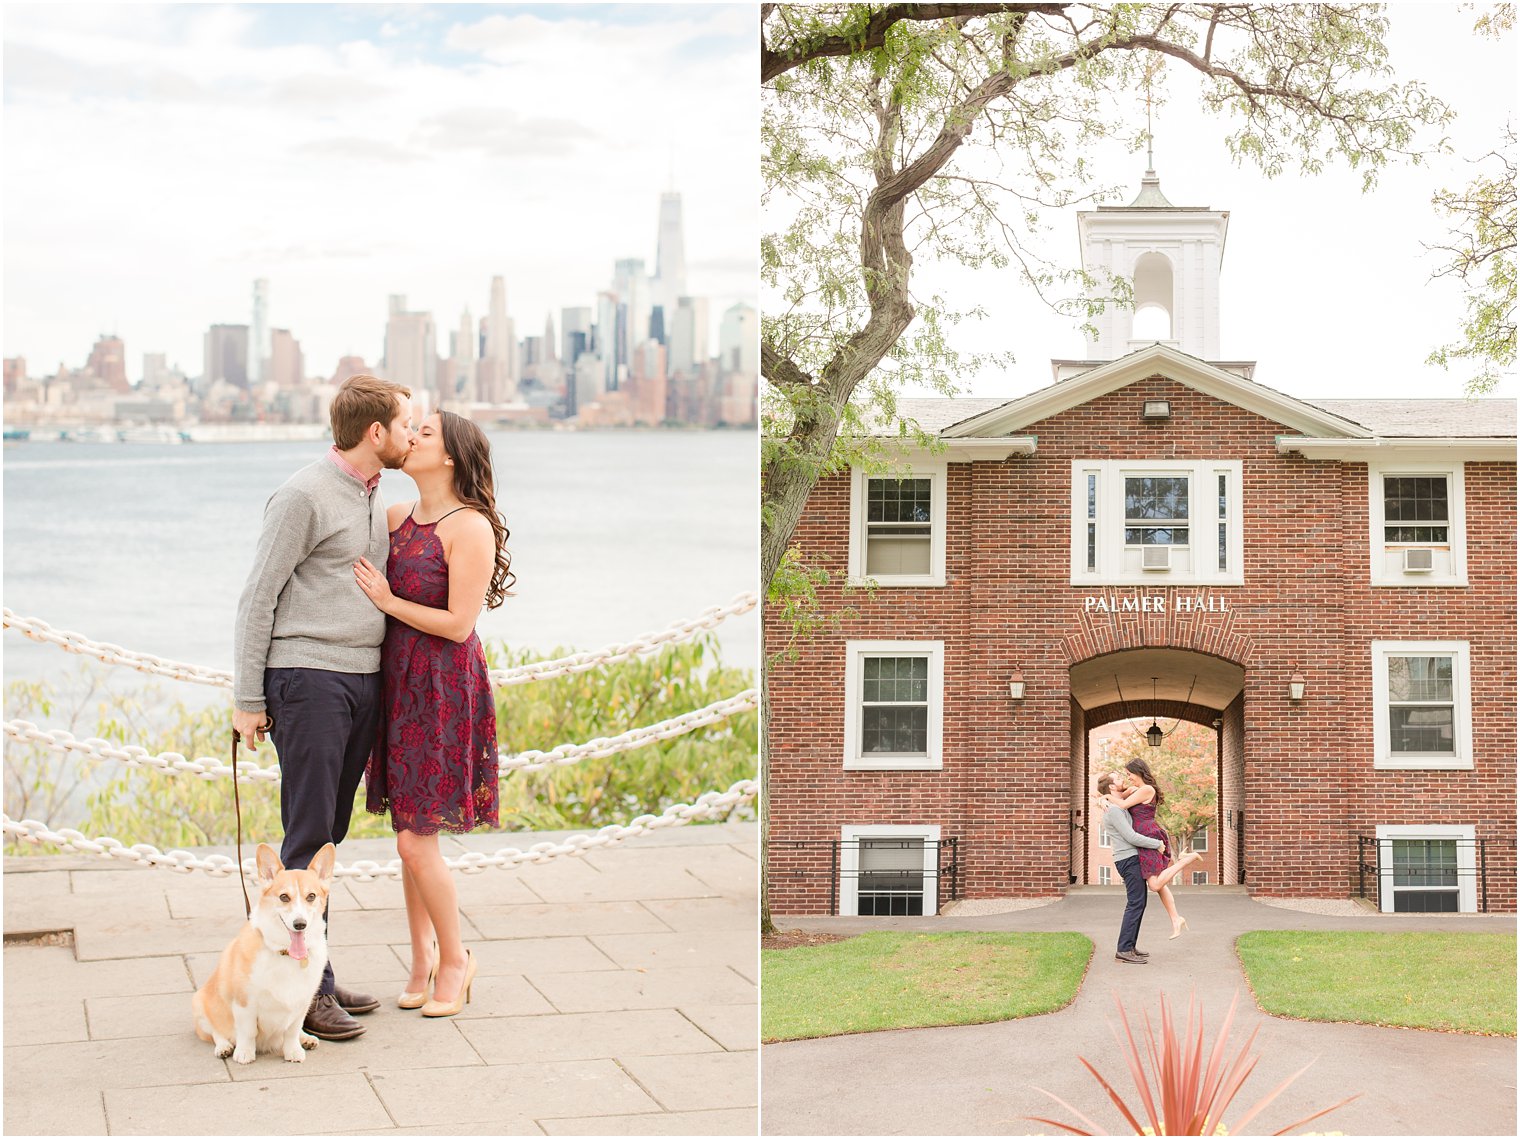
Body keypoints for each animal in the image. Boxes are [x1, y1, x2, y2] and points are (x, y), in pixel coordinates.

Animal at [191, 839, 334, 1064]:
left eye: (311, 896)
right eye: (284, 897)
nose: (300, 924)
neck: (286, 954)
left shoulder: (302, 1002)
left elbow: (292, 1030)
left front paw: (293, 1051)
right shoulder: (244, 1004)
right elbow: (247, 1032)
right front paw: (244, 1053)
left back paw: (306, 1039)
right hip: (200, 1006)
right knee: (215, 1032)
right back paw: (224, 1047)